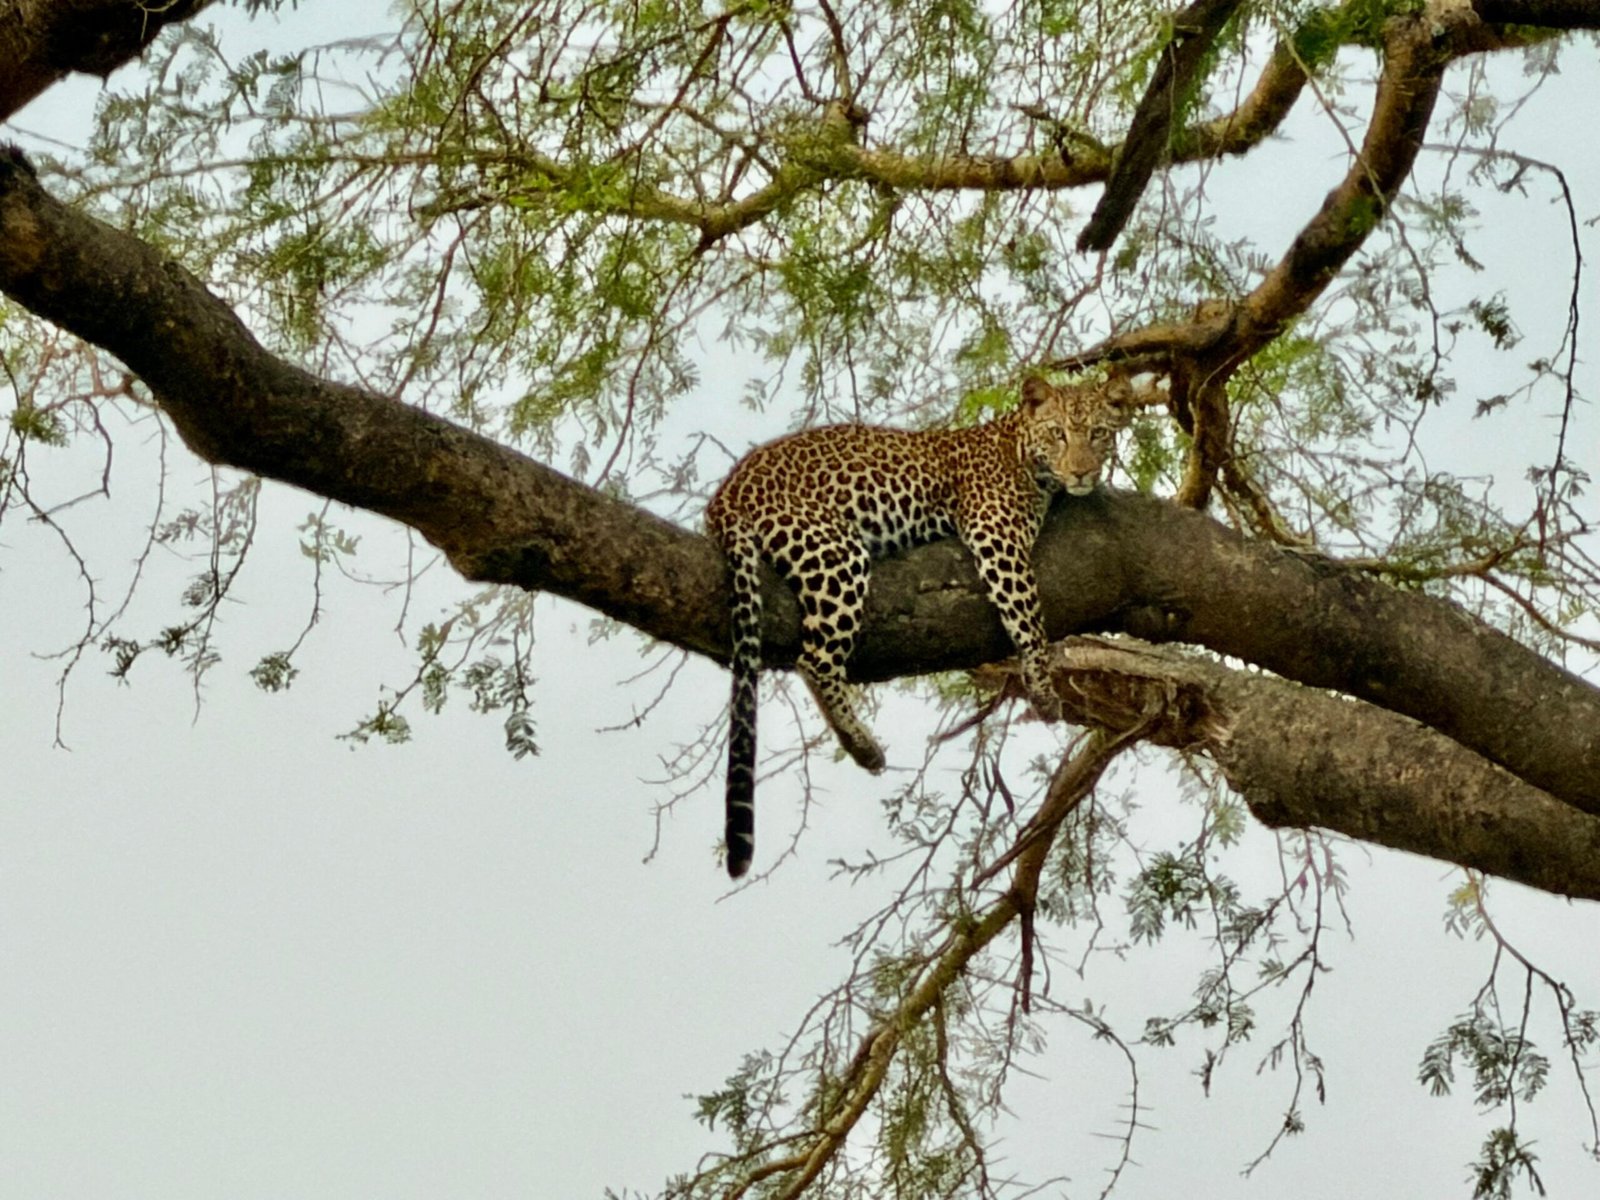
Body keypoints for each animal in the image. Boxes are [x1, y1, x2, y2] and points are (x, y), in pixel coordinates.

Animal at [705, 374, 1138, 878]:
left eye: (1098, 434)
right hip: (834, 552)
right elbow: (1028, 612)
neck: (1017, 446)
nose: (1083, 473)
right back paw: (862, 745)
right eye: (1058, 434)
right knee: (814, 660)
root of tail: (728, 489)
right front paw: (1043, 686)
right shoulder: (996, 533)